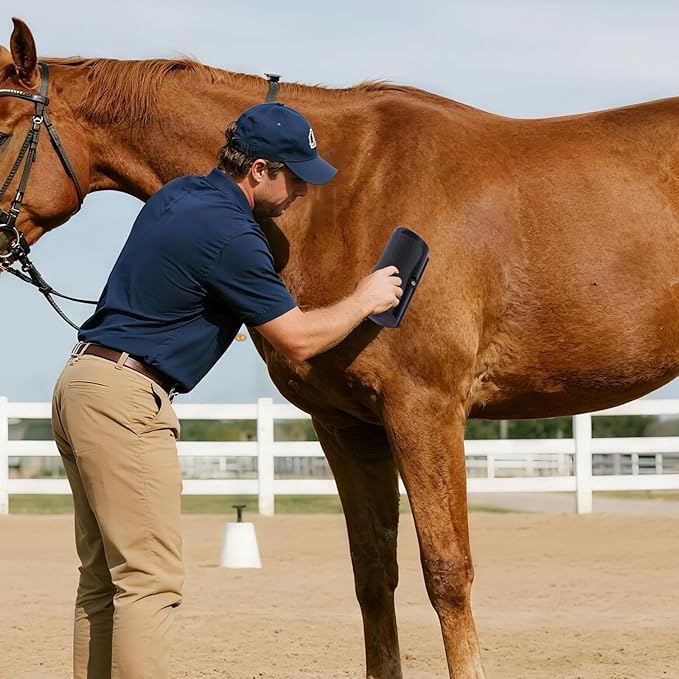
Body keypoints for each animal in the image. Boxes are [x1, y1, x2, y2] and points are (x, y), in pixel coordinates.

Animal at [4, 16, 679, 679]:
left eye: (4, 128)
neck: (344, 193)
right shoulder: (346, 424)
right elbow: (374, 574)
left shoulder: (425, 411)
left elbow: (447, 572)